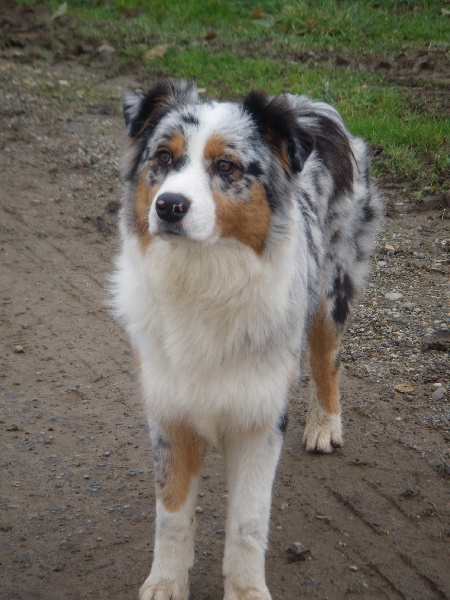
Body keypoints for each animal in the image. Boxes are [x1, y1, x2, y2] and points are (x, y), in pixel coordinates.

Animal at [112, 81, 384, 600]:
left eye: (226, 167)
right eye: (163, 157)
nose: (169, 205)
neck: (204, 280)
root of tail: (307, 104)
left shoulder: (260, 421)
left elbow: (247, 523)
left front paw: (246, 591)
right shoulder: (169, 412)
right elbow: (171, 514)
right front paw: (165, 582)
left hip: (331, 287)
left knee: (326, 357)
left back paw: (325, 424)